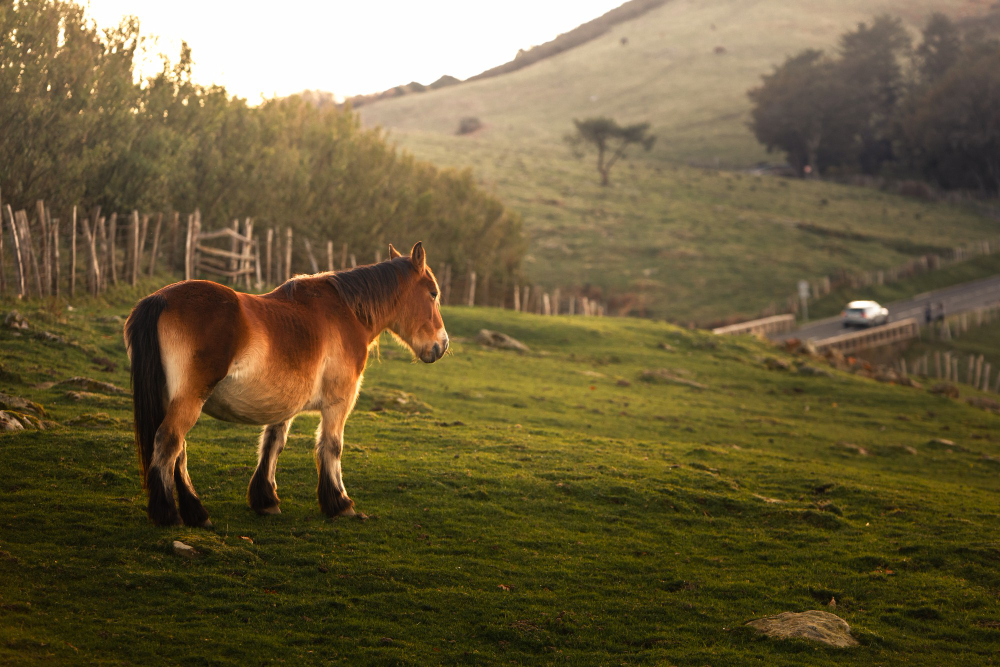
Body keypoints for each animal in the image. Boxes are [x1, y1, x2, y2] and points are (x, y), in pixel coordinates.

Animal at [124, 241, 450, 528]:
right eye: (433, 293)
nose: (442, 345)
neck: (347, 313)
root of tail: (160, 299)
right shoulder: (339, 403)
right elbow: (332, 446)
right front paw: (340, 503)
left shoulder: (283, 404)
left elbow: (272, 444)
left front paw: (265, 499)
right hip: (189, 400)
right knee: (168, 444)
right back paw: (170, 514)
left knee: (178, 452)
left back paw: (194, 511)